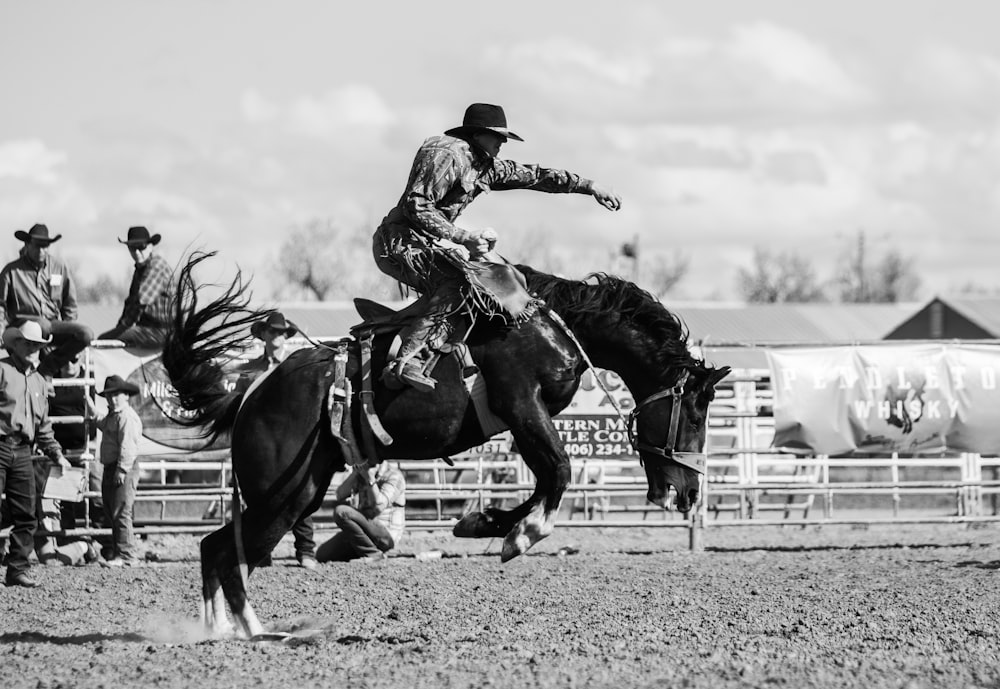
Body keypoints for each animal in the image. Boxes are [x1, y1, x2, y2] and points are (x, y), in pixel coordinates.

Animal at [162, 250, 728, 636]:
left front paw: (484, 522)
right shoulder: (522, 404)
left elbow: (543, 478)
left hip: (296, 490)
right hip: (282, 493)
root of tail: (250, 392)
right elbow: (559, 471)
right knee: (226, 553)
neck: (547, 322)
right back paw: (255, 632)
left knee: (217, 548)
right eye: (697, 409)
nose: (687, 493)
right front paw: (521, 535)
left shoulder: (521, 420)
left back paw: (220, 632)